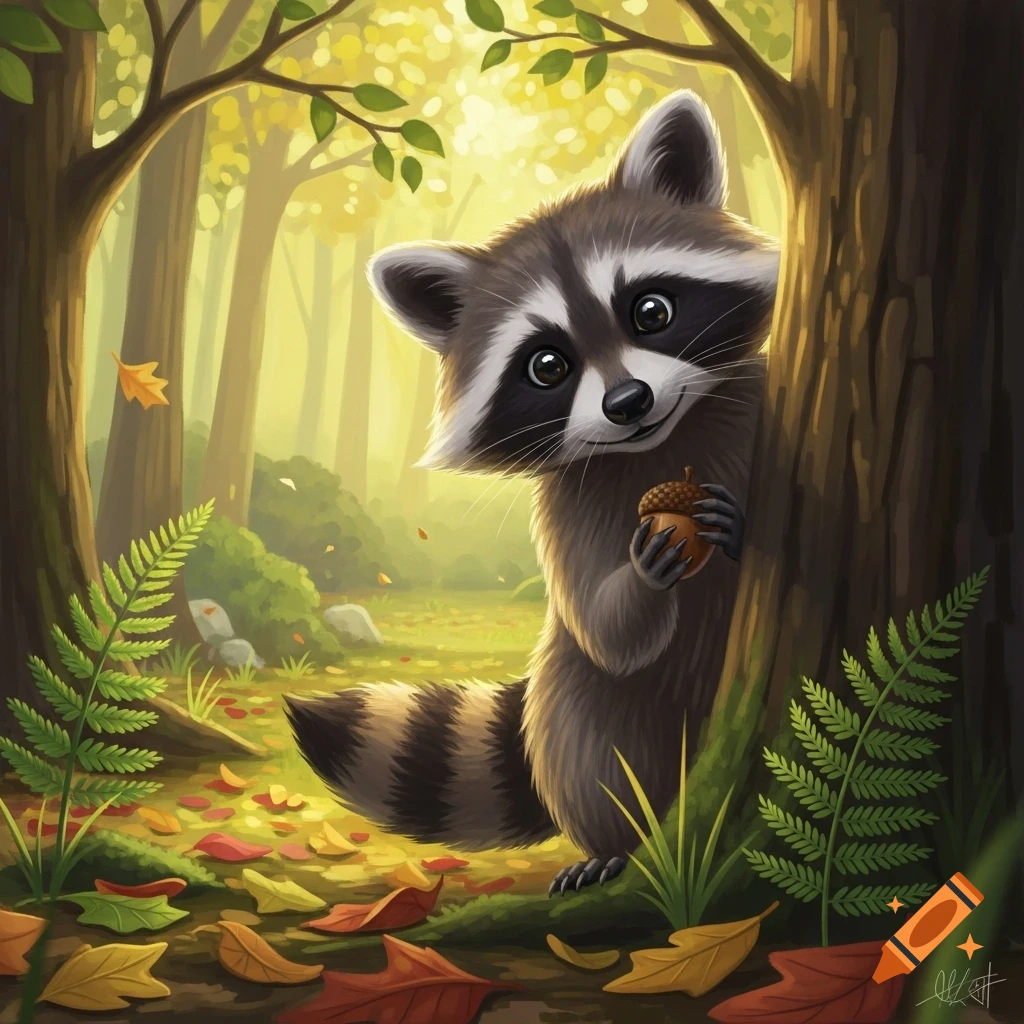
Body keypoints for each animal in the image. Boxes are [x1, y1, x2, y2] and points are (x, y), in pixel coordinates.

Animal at [286, 90, 779, 894]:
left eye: (651, 311)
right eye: (548, 365)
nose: (629, 402)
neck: (661, 445)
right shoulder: (565, 505)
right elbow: (607, 631)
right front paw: (643, 572)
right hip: (575, 690)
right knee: (587, 742)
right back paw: (617, 842)